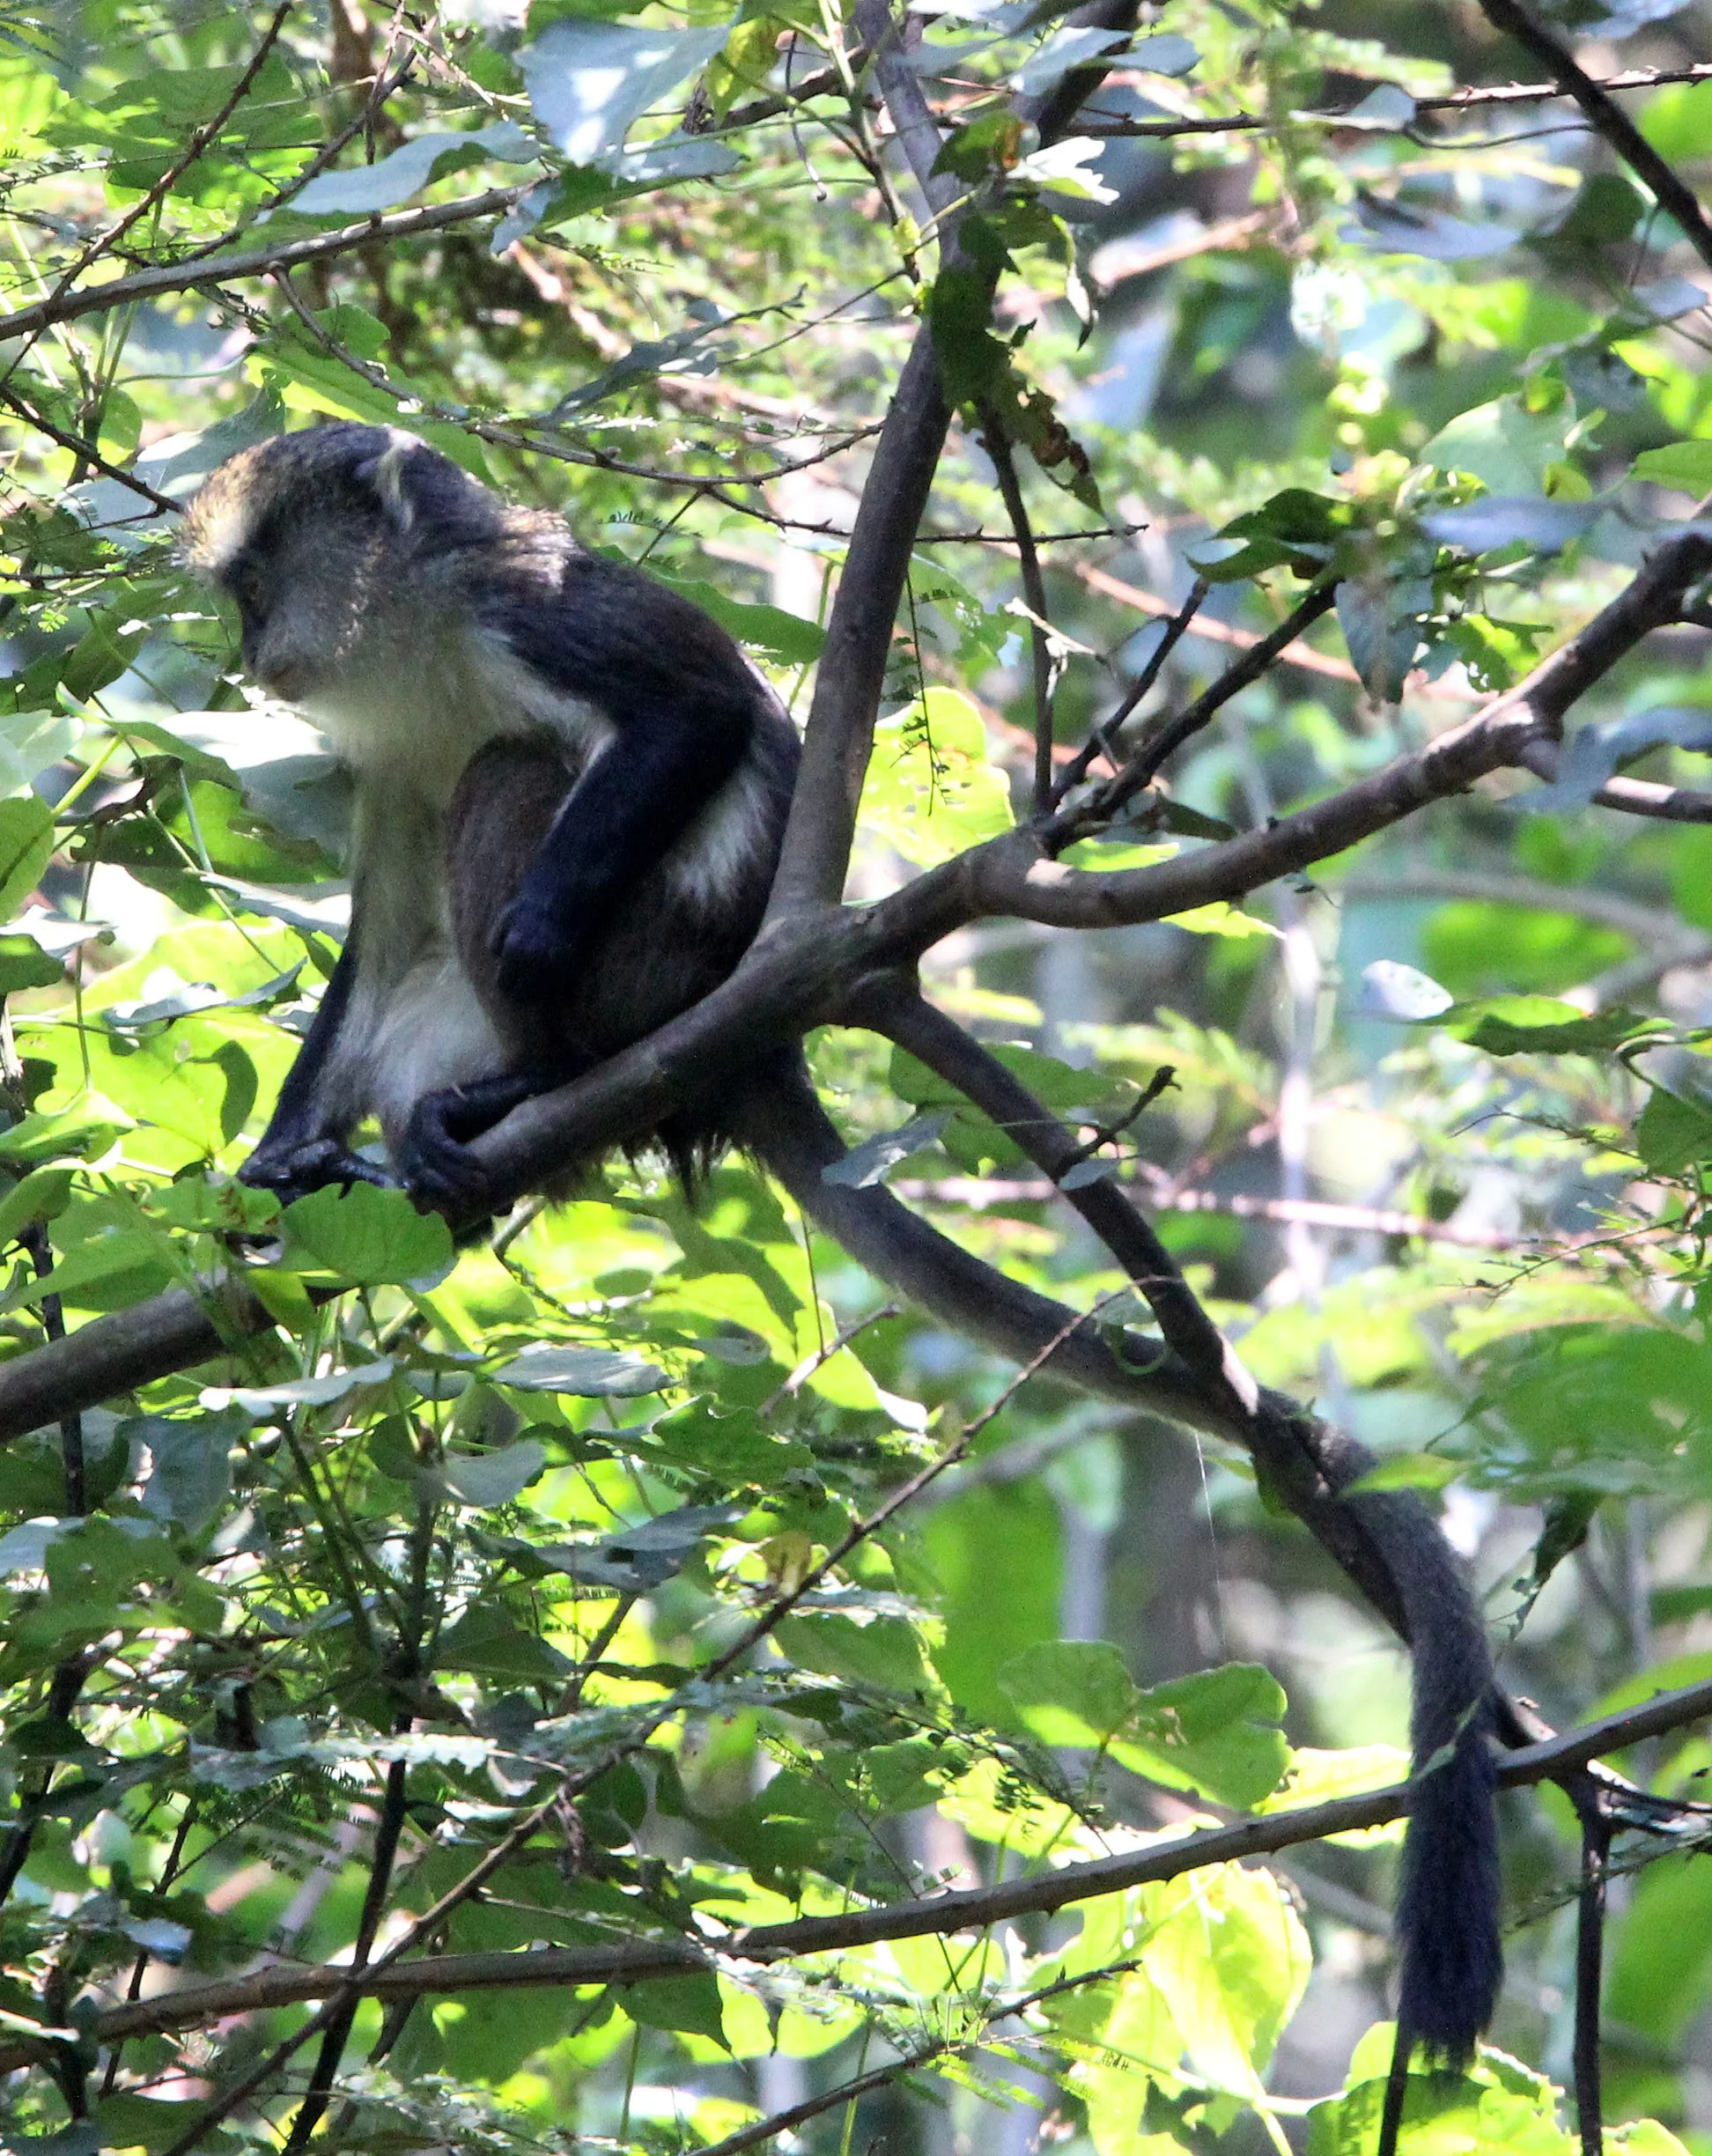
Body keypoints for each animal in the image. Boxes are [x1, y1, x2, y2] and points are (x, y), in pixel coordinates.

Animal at [179, 421, 1501, 2104]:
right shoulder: (383, 761)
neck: (410, 631)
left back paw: (528, 1076)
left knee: (515, 779)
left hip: (652, 966)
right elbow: (370, 931)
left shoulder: (526, 602)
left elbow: (689, 706)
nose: (245, 655)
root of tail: (741, 1053)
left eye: (256, 582)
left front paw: (536, 929)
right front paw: (279, 1166)